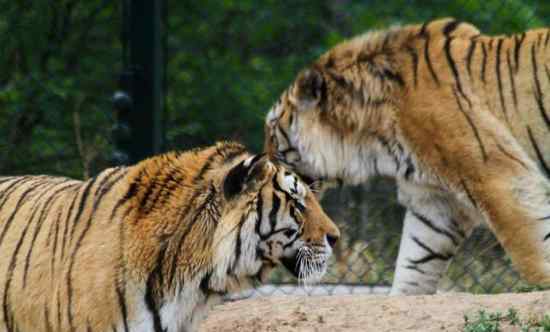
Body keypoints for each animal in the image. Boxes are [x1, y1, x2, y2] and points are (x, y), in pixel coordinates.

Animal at [264, 16, 550, 294]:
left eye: (272, 133)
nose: (263, 170)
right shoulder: (435, 205)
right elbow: (412, 269)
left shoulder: (498, 178)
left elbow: (530, 249)